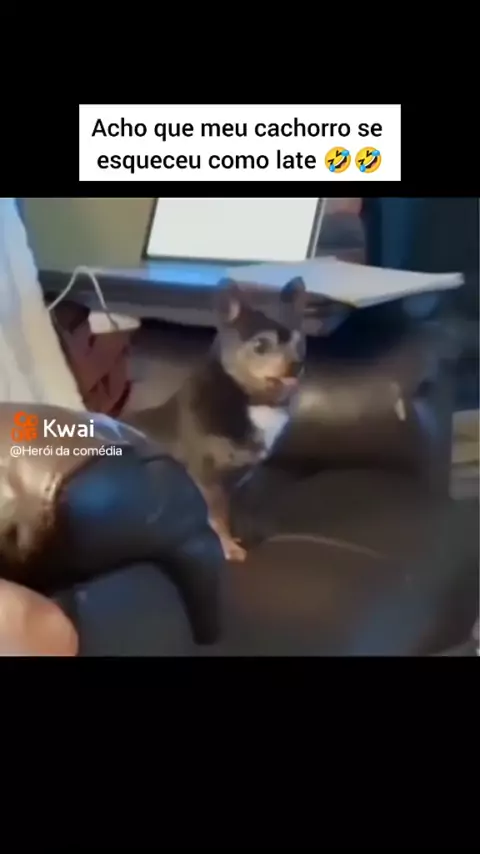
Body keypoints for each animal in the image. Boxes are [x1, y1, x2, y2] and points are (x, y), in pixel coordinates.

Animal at [128, 277, 307, 562]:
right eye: (260, 346)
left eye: (300, 341)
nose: (297, 365)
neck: (253, 400)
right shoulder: (207, 477)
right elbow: (217, 518)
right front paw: (228, 547)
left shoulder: (233, 480)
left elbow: (226, 513)